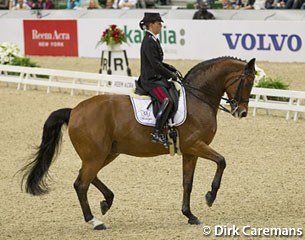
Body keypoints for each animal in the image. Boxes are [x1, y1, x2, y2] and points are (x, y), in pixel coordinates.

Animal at [20, 56, 255, 231]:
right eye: (246, 82)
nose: (242, 112)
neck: (198, 99)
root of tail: (74, 111)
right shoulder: (196, 145)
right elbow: (222, 161)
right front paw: (210, 197)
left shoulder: (190, 152)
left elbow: (187, 183)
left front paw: (190, 215)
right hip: (96, 155)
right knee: (81, 183)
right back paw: (94, 221)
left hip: (106, 153)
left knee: (86, 177)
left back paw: (107, 201)